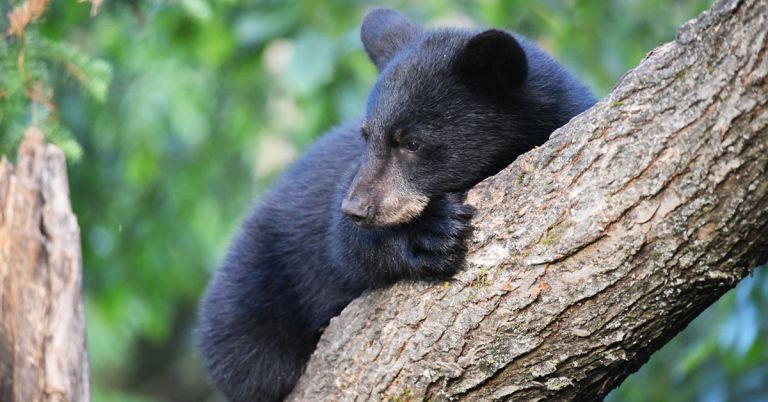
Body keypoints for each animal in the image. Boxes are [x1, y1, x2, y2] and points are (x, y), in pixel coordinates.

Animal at [198, 8, 595, 402]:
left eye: (412, 143)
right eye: (366, 135)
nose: (355, 209)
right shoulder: (351, 179)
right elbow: (344, 245)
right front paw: (429, 232)